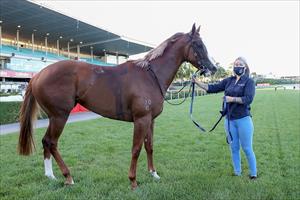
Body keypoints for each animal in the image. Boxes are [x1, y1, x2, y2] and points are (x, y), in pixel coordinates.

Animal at [18, 23, 216, 189]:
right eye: (198, 44)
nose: (212, 68)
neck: (150, 76)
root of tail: (38, 75)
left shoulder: (150, 120)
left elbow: (149, 146)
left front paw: (153, 174)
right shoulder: (141, 120)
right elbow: (136, 149)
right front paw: (133, 181)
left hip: (54, 117)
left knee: (46, 142)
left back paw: (50, 175)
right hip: (60, 116)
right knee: (52, 142)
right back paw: (68, 177)